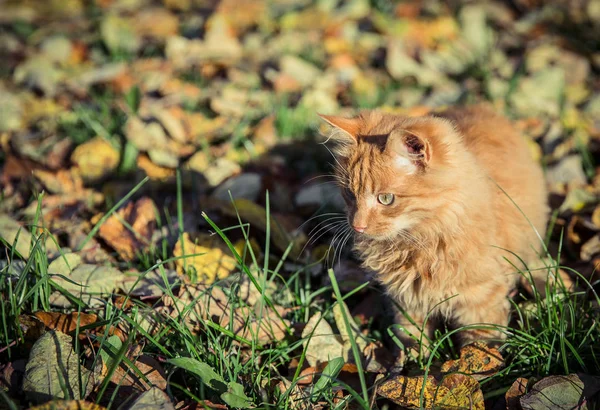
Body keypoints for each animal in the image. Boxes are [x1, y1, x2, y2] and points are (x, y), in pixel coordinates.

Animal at [322, 105, 552, 356]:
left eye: (386, 199)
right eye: (349, 194)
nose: (357, 225)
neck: (420, 242)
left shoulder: (481, 301)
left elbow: (480, 344)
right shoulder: (407, 302)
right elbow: (411, 335)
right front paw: (410, 359)